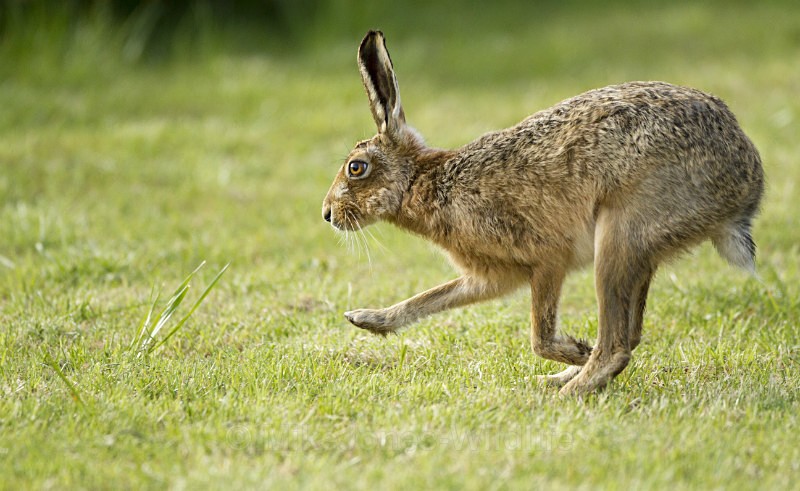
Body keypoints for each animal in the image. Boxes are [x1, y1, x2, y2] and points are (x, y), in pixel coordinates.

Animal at [321, 30, 764, 396]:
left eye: (356, 168)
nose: (327, 214)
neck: (424, 182)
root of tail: (745, 186)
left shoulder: (547, 259)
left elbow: (540, 337)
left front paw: (577, 348)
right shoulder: (492, 274)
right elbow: (431, 297)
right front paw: (366, 319)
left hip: (620, 236)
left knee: (618, 345)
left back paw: (570, 389)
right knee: (631, 334)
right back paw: (564, 378)